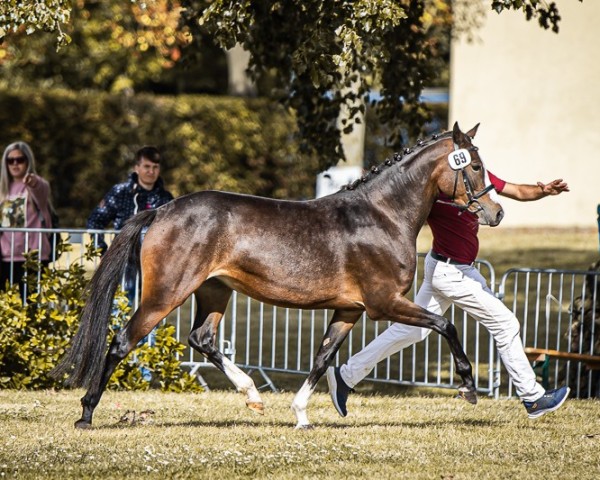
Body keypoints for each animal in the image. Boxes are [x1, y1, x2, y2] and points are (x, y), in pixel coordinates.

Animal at [51, 122, 504, 430]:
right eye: (476, 166)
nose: (496, 213)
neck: (381, 216)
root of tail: (161, 210)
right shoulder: (384, 303)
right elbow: (445, 324)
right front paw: (468, 387)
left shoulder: (350, 310)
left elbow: (322, 358)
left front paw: (301, 414)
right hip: (165, 294)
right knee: (122, 341)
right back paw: (86, 414)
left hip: (214, 291)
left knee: (202, 338)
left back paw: (252, 395)